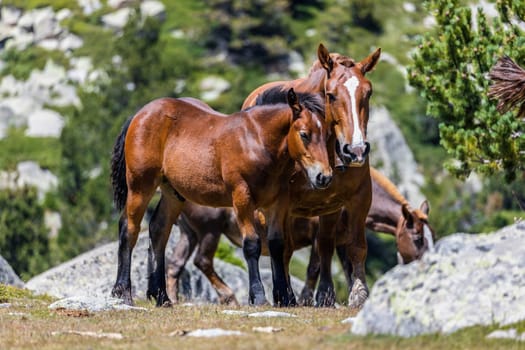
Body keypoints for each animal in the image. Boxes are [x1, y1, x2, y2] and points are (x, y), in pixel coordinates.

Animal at [109, 89, 332, 304]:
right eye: (304, 134)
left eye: (327, 134)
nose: (324, 176)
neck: (256, 141)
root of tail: (140, 114)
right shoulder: (242, 198)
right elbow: (252, 244)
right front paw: (258, 296)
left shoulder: (278, 202)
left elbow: (277, 245)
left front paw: (284, 298)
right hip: (140, 186)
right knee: (129, 228)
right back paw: (123, 292)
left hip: (173, 194)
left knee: (158, 230)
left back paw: (162, 297)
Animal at [165, 167, 434, 306]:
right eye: (418, 238)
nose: (429, 263)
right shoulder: (318, 237)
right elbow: (314, 267)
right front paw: (307, 298)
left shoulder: (342, 241)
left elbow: (348, 268)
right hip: (210, 231)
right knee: (203, 261)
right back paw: (229, 296)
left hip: (190, 234)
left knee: (176, 263)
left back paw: (172, 298)